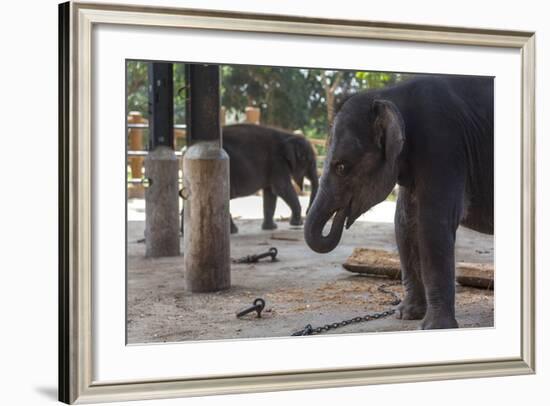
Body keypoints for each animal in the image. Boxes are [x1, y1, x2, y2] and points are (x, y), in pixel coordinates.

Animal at [306, 75, 496, 330]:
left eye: (342, 167)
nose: (341, 218)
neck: (388, 95)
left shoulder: (442, 144)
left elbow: (433, 224)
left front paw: (434, 328)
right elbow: (404, 223)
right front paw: (406, 315)